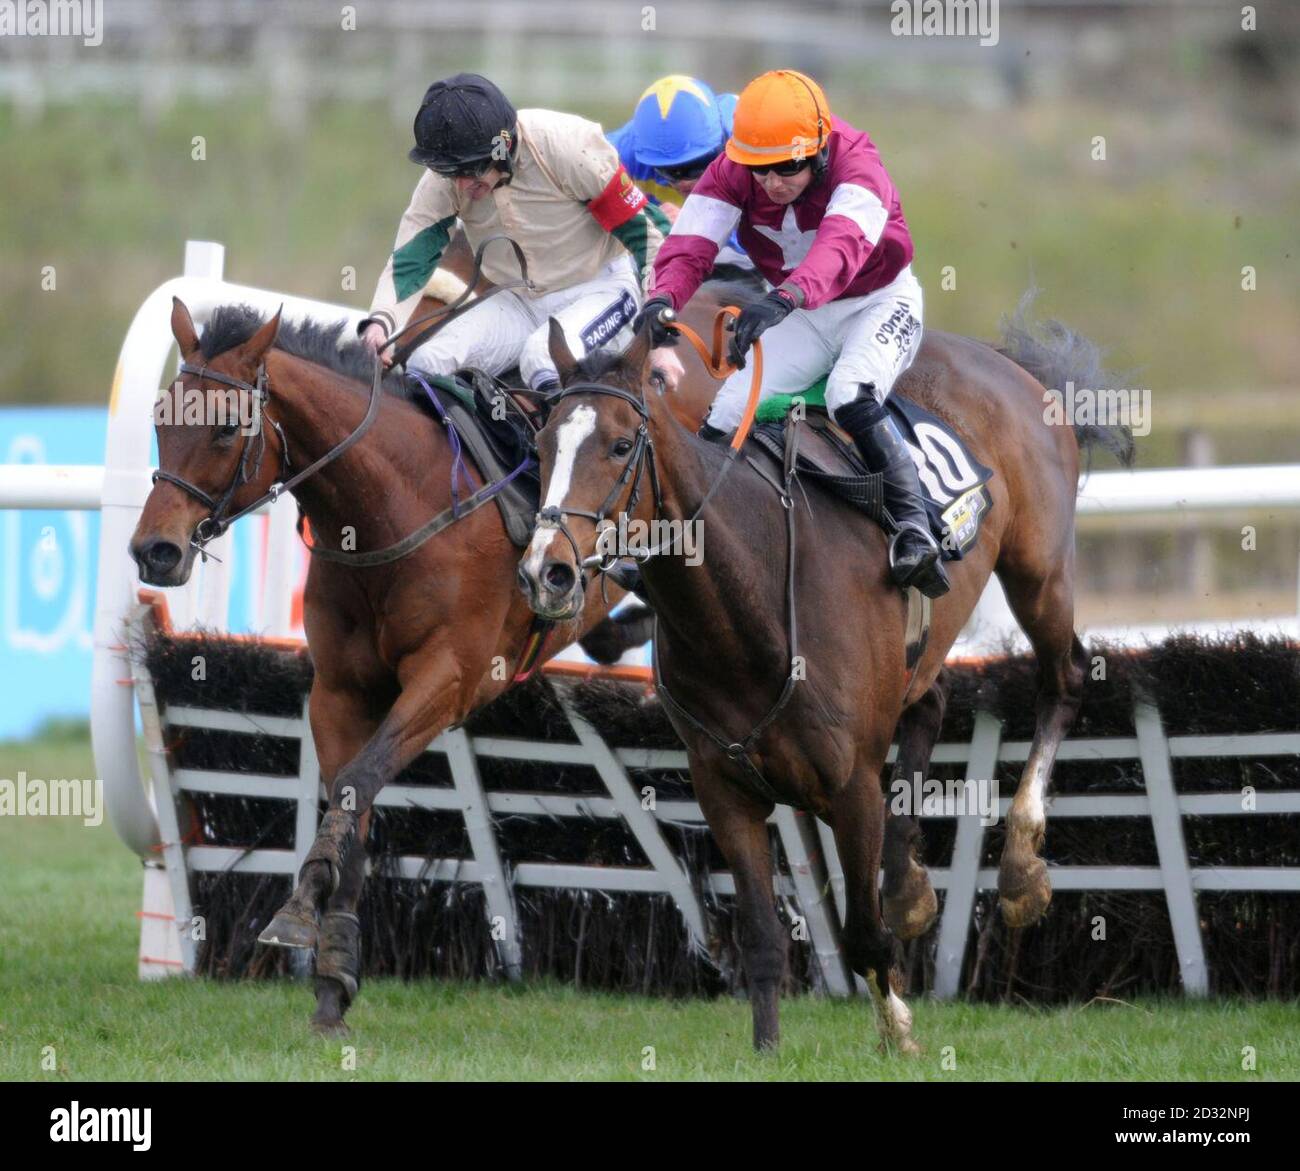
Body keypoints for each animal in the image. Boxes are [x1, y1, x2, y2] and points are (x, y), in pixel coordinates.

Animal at [133, 285, 743, 1034]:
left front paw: (299, 912)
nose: (153, 550)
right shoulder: (340, 692)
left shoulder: (449, 679)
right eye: (160, 420)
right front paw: (334, 979)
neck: (391, 507)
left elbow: (357, 783)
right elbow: (352, 803)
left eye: (223, 430)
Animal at [517, 304, 1128, 1050]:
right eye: (543, 443)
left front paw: (897, 1032)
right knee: (931, 700)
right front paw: (767, 1048)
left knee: (1064, 679)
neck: (747, 603)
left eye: (619, 444)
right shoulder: (724, 788)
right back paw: (909, 885)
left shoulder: (850, 786)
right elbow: (761, 937)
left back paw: (1017, 868)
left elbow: (862, 934)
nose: (546, 571)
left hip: (1039, 569)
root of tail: (1007, 361)